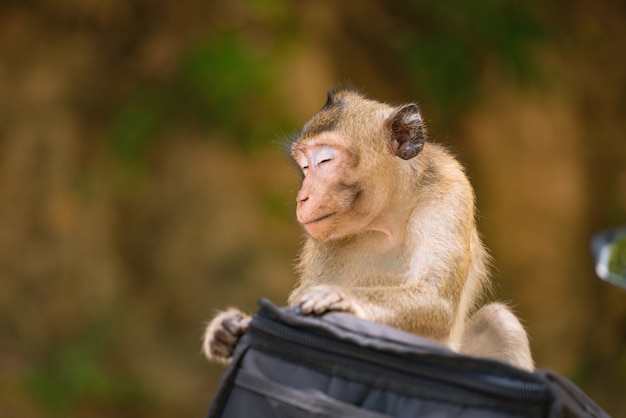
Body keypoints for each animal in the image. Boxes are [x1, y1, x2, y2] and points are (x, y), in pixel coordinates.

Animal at [202, 89, 532, 372]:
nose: (302, 197)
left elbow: (435, 298)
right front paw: (228, 329)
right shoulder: (323, 239)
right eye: (304, 166)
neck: (387, 220)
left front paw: (340, 299)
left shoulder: (449, 191)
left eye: (325, 160)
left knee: (499, 322)